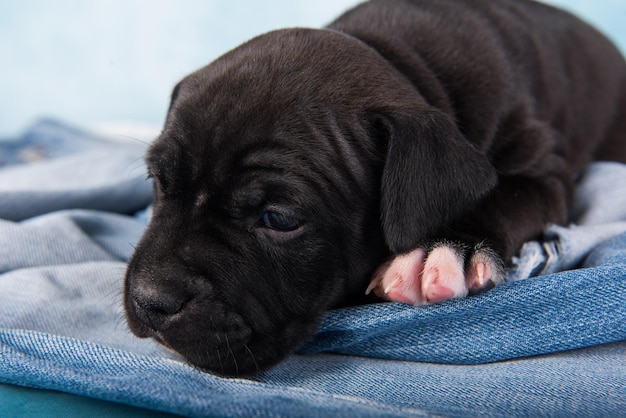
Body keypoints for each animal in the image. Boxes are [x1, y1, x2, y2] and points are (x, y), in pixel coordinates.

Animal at [124, 0, 624, 376]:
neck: (403, 60)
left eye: (279, 219)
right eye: (158, 182)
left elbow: (504, 199)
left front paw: (447, 249)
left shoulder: (545, 173)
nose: (151, 300)